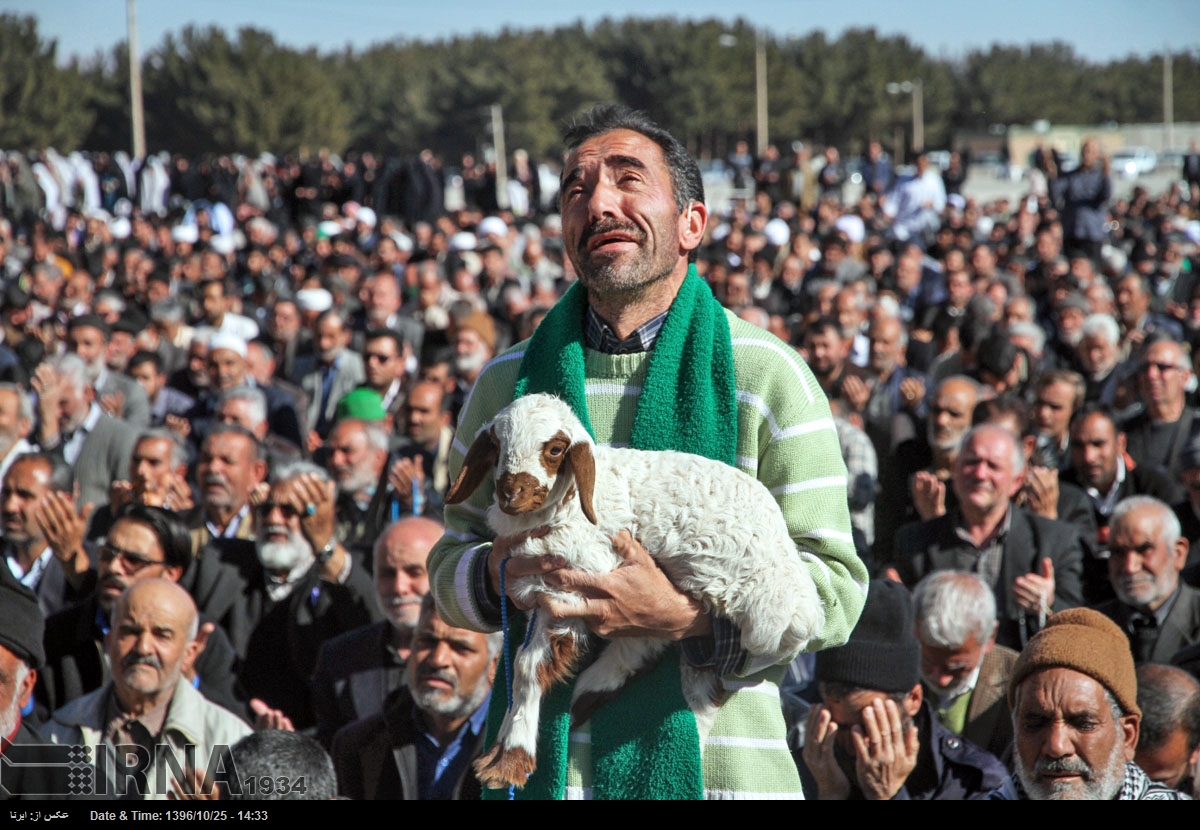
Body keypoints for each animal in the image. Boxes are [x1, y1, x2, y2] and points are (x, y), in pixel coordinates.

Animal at [446, 393, 830, 786]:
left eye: (554, 449)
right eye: (496, 445)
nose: (511, 494)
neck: (570, 506)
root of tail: (809, 610)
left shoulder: (576, 582)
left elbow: (527, 666)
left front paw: (509, 759)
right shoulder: (545, 590)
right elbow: (527, 664)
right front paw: (501, 752)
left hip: (743, 606)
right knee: (670, 665)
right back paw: (586, 698)